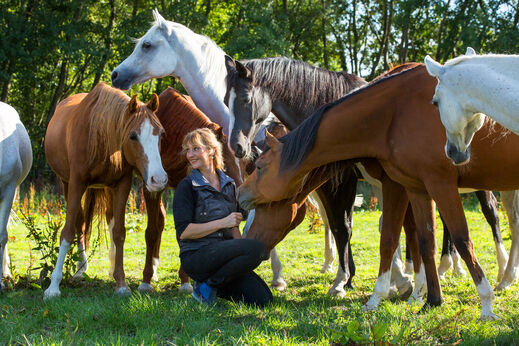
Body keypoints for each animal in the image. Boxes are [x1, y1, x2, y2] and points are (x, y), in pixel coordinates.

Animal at [44, 83, 168, 298]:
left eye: (160, 134)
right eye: (133, 135)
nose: (158, 179)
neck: (101, 135)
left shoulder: (121, 186)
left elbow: (119, 232)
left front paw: (121, 283)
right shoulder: (76, 184)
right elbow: (67, 232)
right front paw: (53, 286)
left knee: (109, 222)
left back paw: (110, 269)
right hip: (67, 183)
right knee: (79, 223)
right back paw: (80, 268)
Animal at [238, 64, 519, 318]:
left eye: (260, 167)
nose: (240, 195)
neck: (393, 113)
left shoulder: (431, 182)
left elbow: (459, 237)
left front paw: (485, 304)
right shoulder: (410, 185)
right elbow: (409, 238)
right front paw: (417, 295)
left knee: (494, 218)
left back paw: (499, 275)